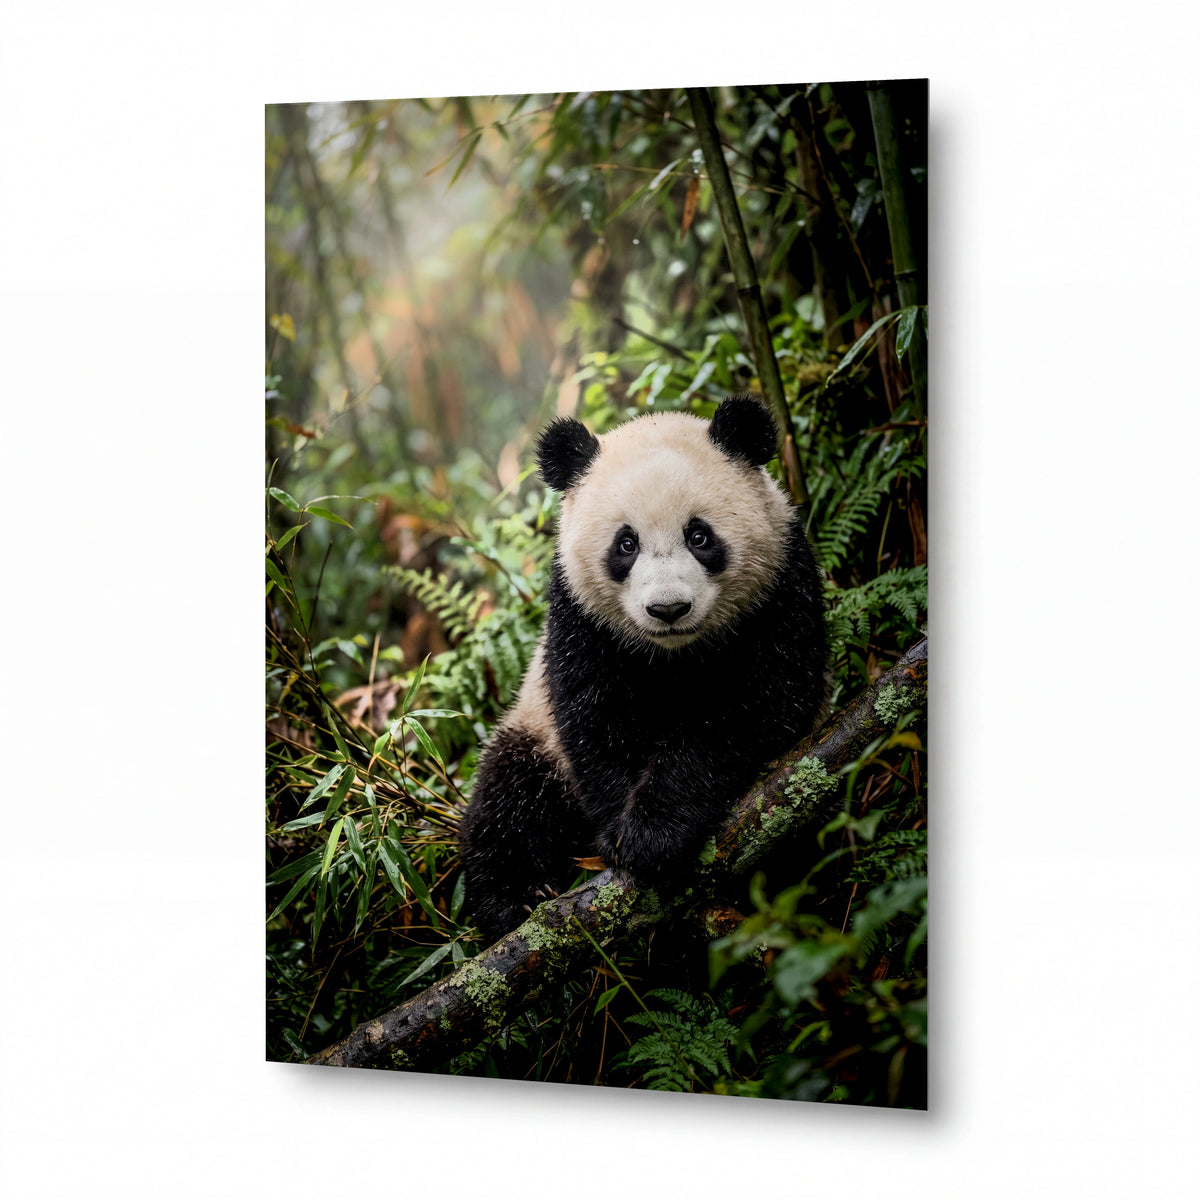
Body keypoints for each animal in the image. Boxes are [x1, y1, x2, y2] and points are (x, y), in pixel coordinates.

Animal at [458, 394, 828, 944]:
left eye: (699, 536)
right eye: (625, 544)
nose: (668, 609)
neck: (675, 654)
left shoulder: (782, 590)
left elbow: (755, 705)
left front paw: (652, 834)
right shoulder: (582, 622)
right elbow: (596, 722)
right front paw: (622, 834)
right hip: (533, 734)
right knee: (509, 801)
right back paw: (514, 899)